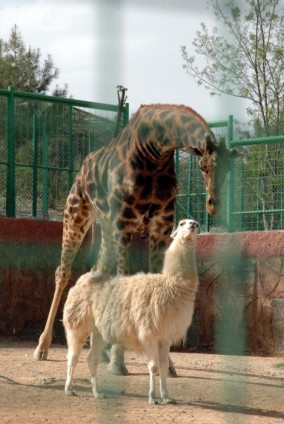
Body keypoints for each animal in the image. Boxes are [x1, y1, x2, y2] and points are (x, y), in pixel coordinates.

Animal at [33, 103, 240, 374]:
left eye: (228, 168)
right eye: (203, 166)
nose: (213, 205)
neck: (156, 152)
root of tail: (85, 164)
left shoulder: (160, 227)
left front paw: (167, 363)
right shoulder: (125, 225)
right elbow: (124, 280)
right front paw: (118, 362)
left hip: (105, 227)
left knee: (97, 271)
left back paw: (99, 351)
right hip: (77, 213)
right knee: (63, 272)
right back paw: (43, 347)